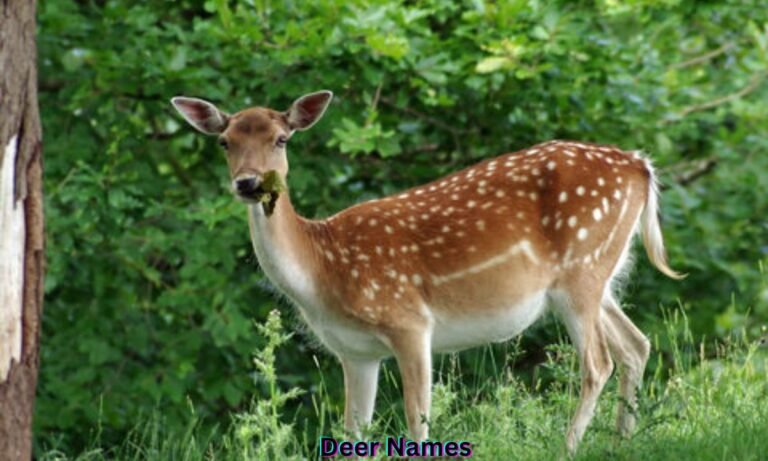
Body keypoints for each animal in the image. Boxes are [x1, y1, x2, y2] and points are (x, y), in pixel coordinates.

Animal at [170, 90, 682, 455]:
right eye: (225, 141)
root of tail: (641, 166)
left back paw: (569, 448)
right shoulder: (355, 352)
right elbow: (353, 432)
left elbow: (418, 423)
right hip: (598, 276)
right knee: (636, 344)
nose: (248, 183)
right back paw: (621, 443)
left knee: (598, 362)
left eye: (281, 139)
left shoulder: (410, 322)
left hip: (581, 269)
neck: (323, 273)